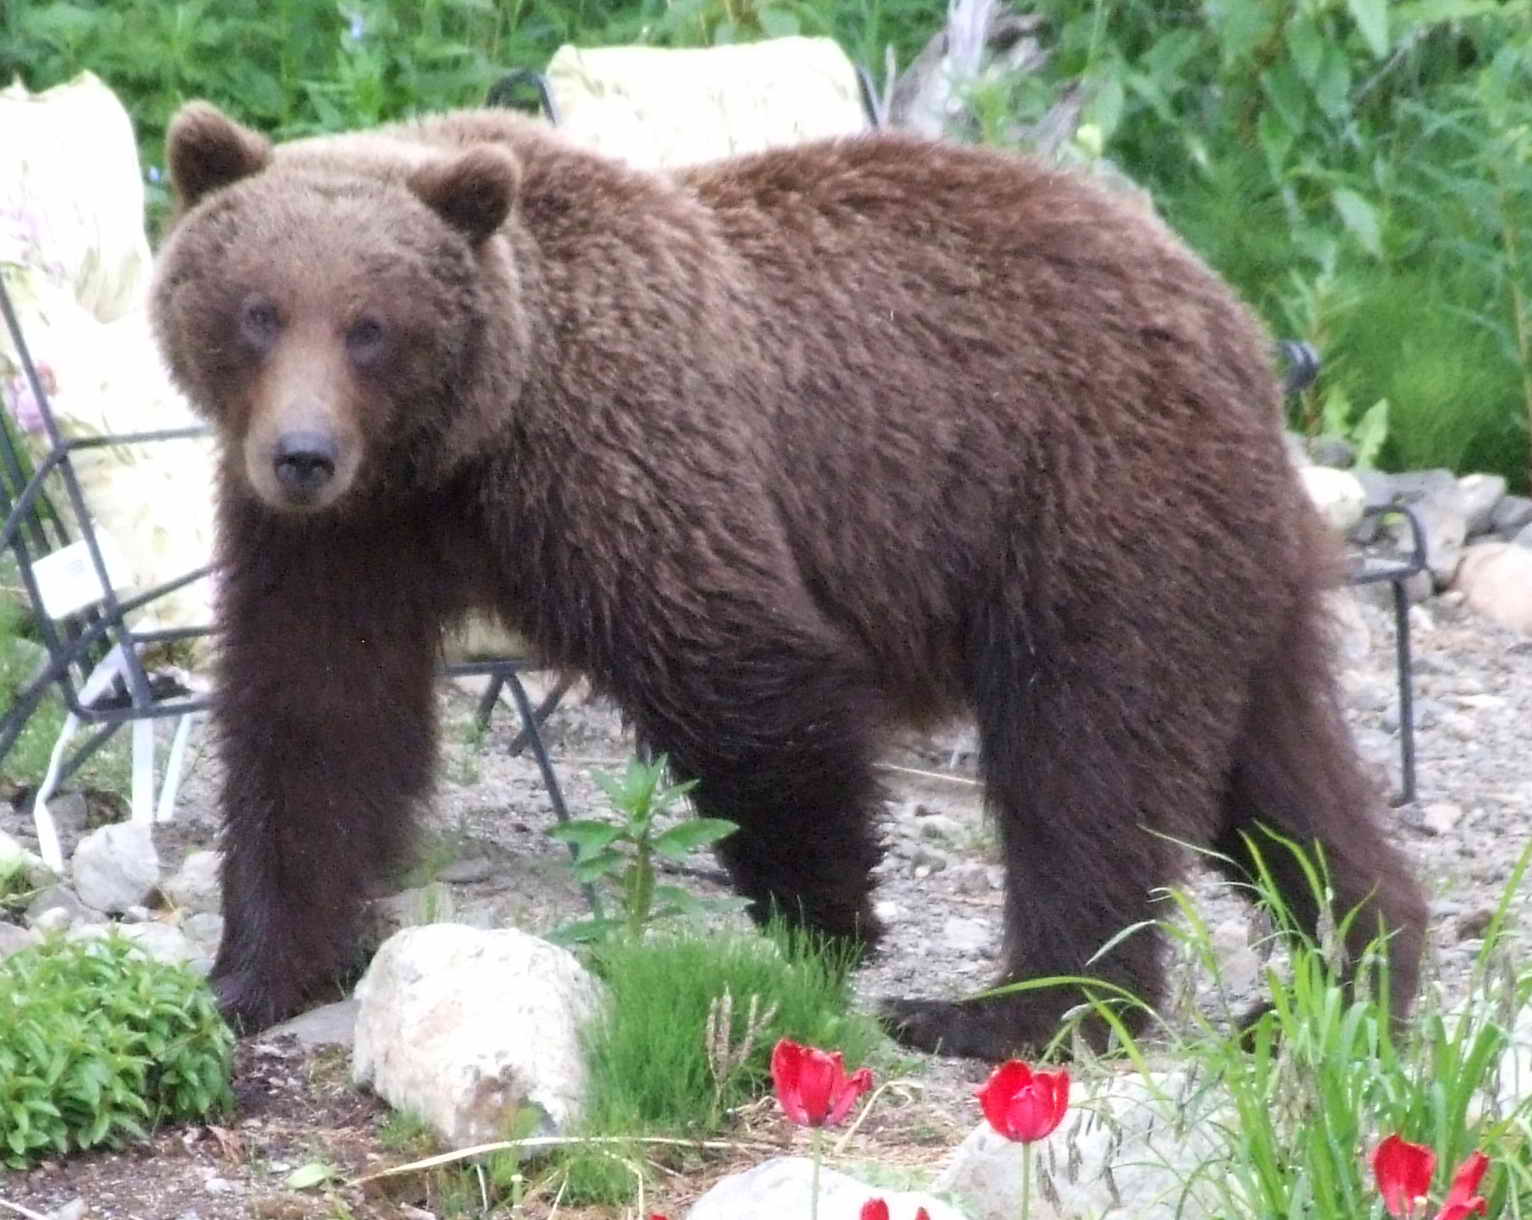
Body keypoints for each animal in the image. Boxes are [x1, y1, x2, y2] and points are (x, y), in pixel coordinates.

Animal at [151, 100, 1428, 1059]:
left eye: (370, 325)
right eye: (258, 311)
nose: (301, 455)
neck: (464, 446)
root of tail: (1234, 320)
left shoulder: (619, 449)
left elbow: (736, 663)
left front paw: (831, 919)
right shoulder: (348, 540)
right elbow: (316, 717)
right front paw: (253, 972)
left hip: (1087, 501)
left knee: (1085, 757)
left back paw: (1008, 1009)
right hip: (1219, 556)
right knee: (1275, 769)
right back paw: (1344, 978)